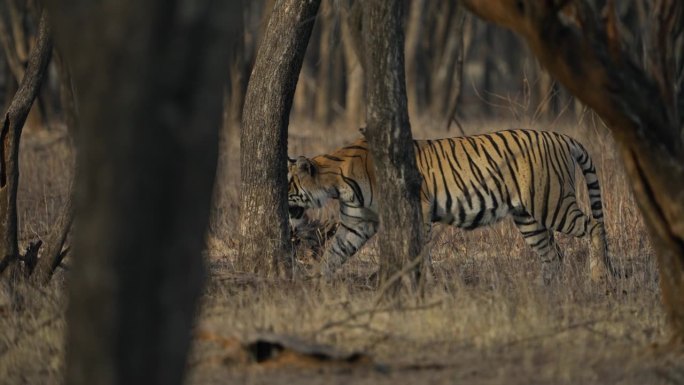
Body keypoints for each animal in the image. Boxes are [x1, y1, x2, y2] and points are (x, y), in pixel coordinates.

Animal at [288, 128, 616, 282]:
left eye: (288, 183)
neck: (337, 184)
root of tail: (560, 136)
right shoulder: (358, 222)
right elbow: (334, 252)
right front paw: (314, 281)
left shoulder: (417, 207)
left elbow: (420, 247)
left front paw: (425, 281)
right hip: (528, 217)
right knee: (553, 254)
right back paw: (545, 290)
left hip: (551, 202)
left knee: (594, 225)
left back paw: (598, 275)